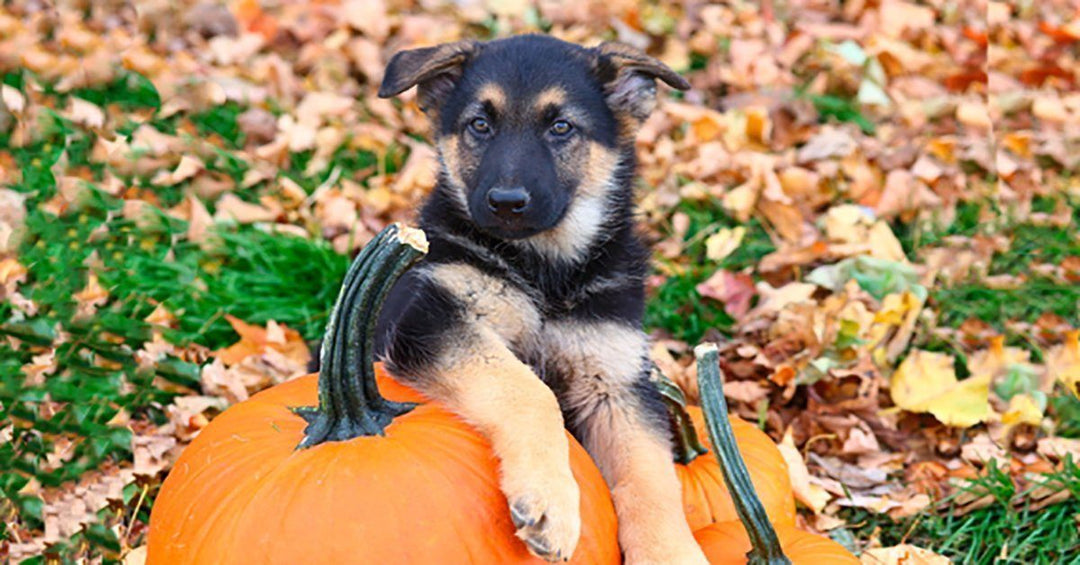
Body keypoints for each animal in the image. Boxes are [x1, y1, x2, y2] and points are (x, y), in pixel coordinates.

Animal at [373, 35, 708, 565]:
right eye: (480, 124)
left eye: (561, 127)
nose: (507, 203)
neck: (546, 270)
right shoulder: (428, 318)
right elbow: (527, 389)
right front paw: (551, 498)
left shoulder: (616, 381)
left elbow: (652, 476)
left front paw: (669, 552)